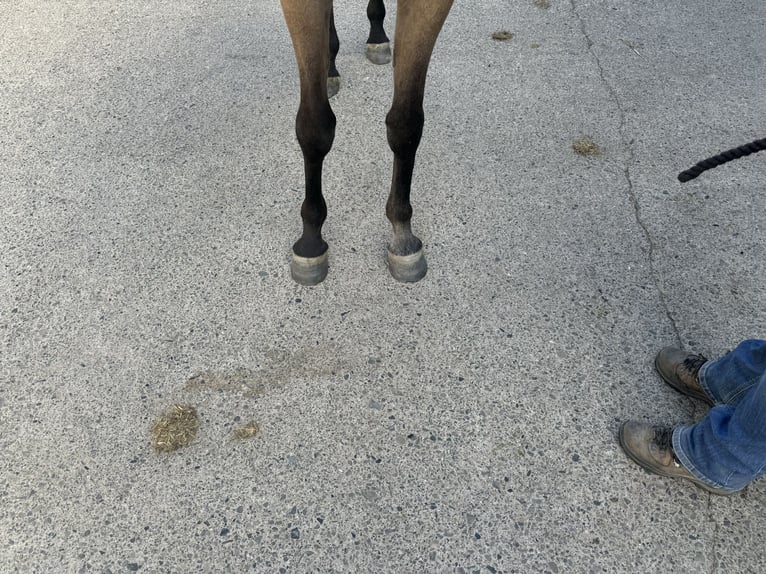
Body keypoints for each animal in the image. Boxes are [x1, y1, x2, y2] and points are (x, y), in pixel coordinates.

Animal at [280, 0, 452, 286]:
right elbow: (315, 127)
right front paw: (311, 240)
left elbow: (406, 124)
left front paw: (403, 236)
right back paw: (330, 68)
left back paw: (377, 37)